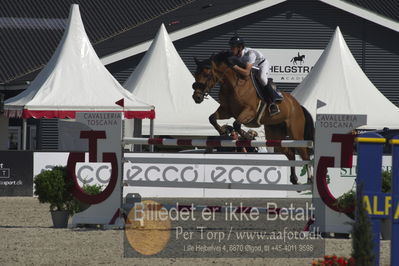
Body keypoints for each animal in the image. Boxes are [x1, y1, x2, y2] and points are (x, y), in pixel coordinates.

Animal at [192, 52, 314, 185]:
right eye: (196, 75)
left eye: (207, 75)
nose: (196, 97)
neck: (233, 85)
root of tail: (297, 105)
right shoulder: (226, 111)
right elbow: (212, 118)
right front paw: (223, 131)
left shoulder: (249, 111)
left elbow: (236, 124)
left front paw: (248, 136)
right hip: (274, 133)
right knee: (290, 154)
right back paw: (294, 179)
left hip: (295, 134)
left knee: (305, 155)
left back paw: (310, 179)